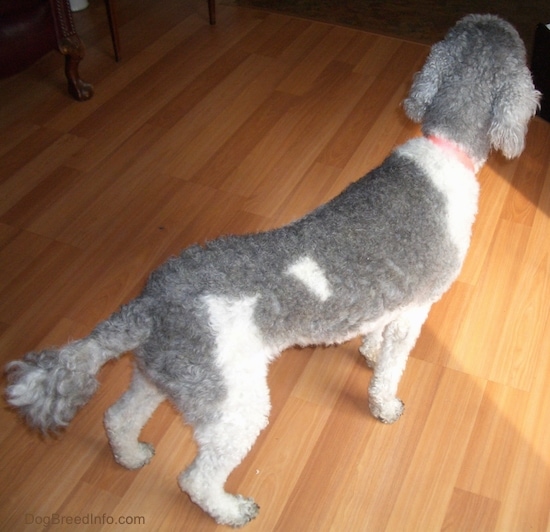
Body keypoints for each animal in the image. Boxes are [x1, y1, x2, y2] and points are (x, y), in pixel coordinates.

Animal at [2, 13, 540, 528]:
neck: (443, 147)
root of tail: (150, 305)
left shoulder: (395, 300)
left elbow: (375, 335)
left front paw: (367, 350)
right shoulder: (416, 309)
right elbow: (390, 370)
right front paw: (385, 405)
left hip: (161, 377)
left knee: (118, 417)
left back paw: (131, 455)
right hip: (235, 406)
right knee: (196, 478)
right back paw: (230, 510)